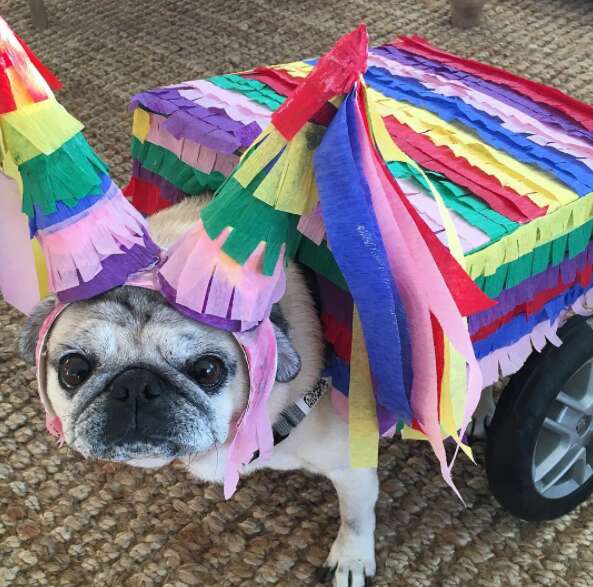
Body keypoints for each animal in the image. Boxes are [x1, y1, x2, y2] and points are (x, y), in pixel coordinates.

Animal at [19, 198, 380, 587]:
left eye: (207, 370)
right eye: (74, 370)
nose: (135, 385)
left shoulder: (351, 465)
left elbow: (356, 516)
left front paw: (351, 560)